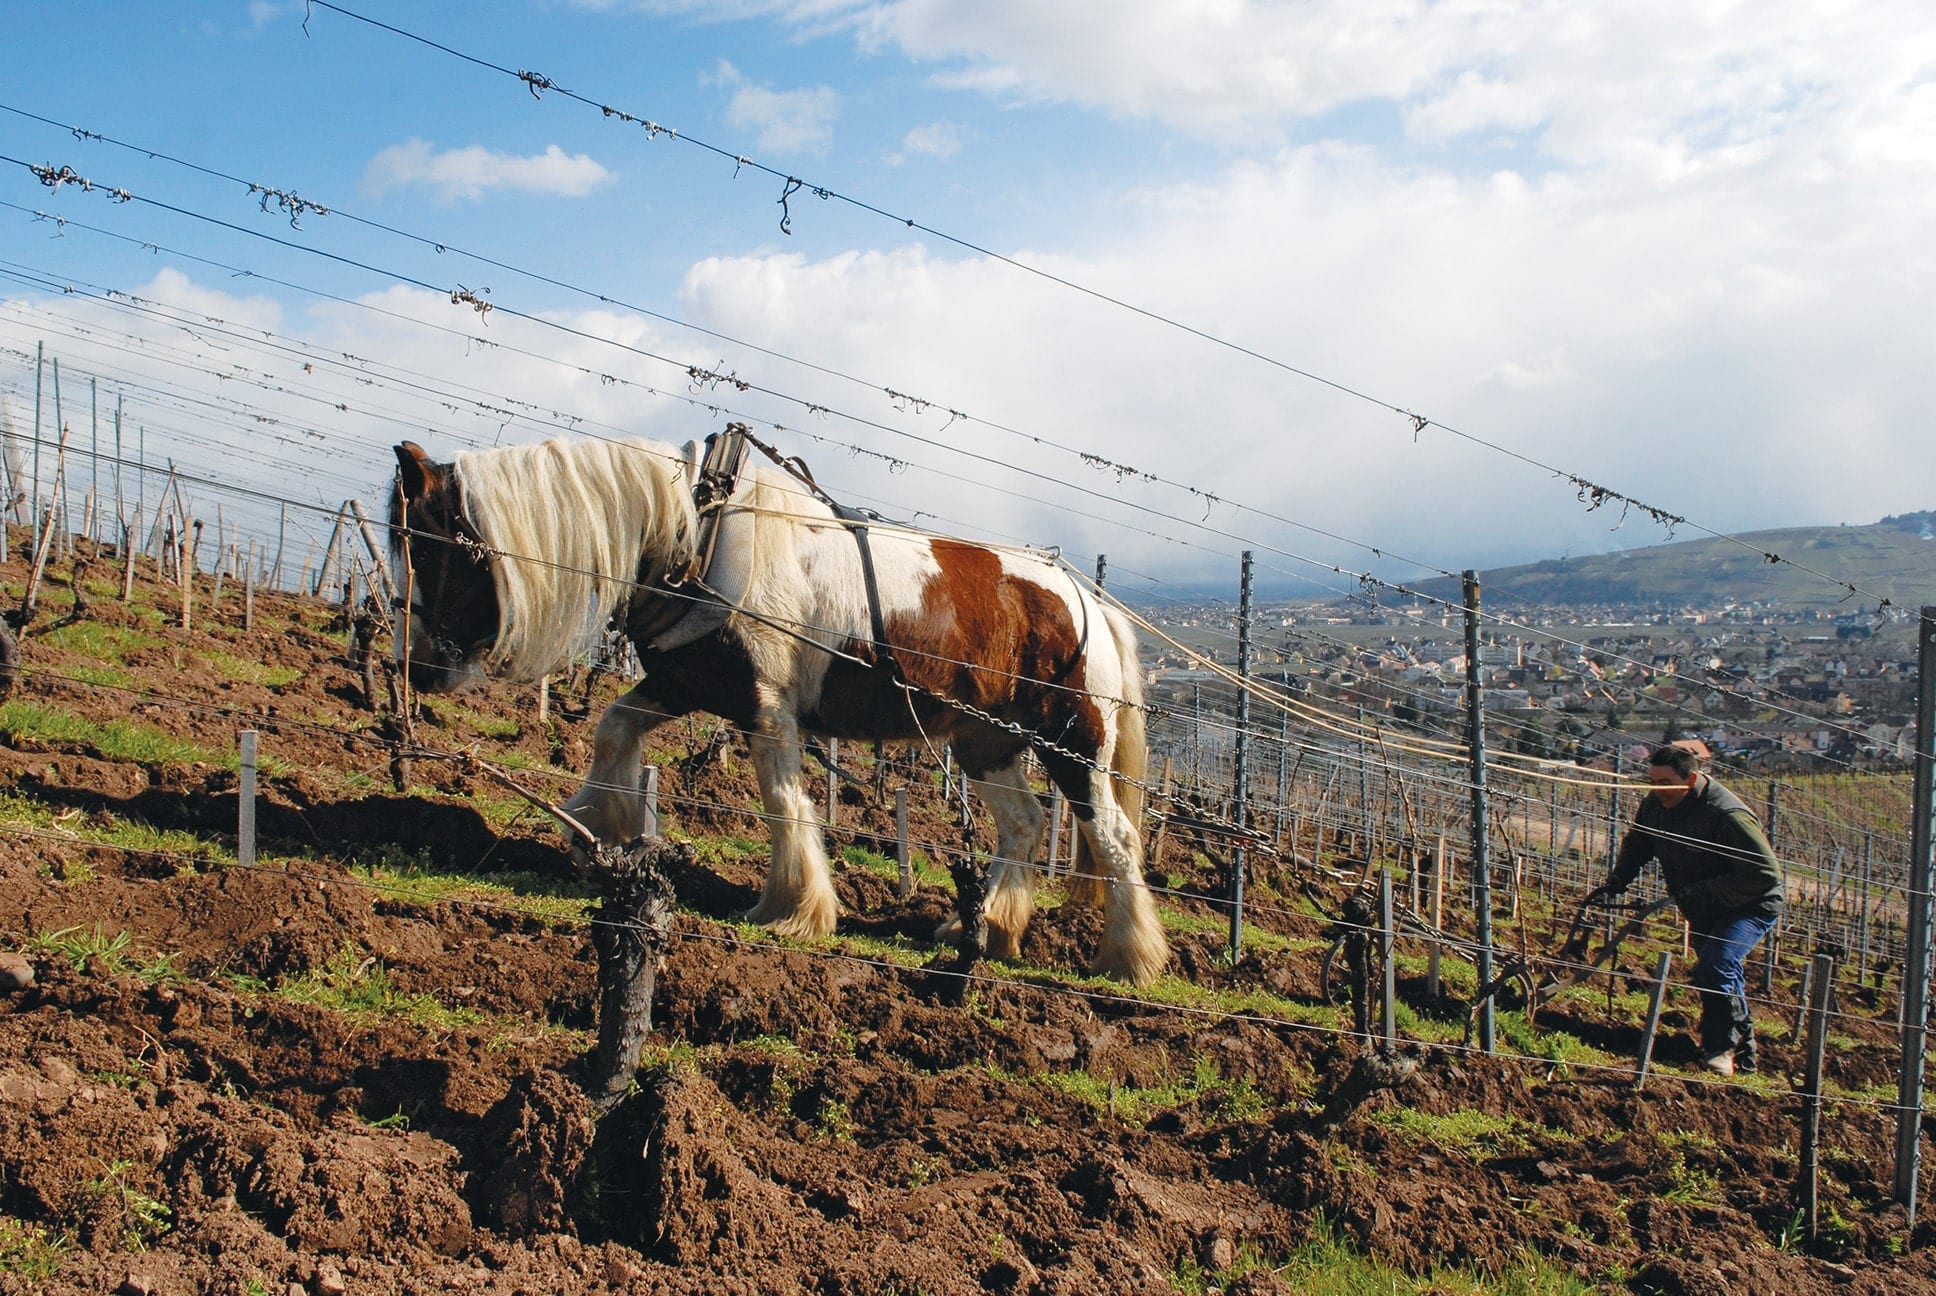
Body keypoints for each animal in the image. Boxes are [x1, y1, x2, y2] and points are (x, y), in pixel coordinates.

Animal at [379, 430, 1161, 984]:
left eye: (430, 544)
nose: (416, 665)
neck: (697, 536)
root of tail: (1089, 601)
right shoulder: (688, 682)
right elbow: (612, 728)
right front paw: (599, 826)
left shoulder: (766, 705)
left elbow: (783, 799)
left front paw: (791, 907)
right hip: (987, 741)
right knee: (1025, 824)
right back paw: (987, 929)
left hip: (1072, 740)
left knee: (1116, 838)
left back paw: (1127, 959)